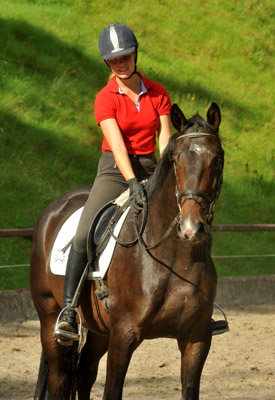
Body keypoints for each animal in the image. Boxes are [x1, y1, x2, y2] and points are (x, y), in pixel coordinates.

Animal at [30, 103, 224, 400]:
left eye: (217, 159)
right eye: (176, 161)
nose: (191, 228)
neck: (173, 258)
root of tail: (53, 208)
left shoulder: (196, 338)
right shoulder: (124, 335)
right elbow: (112, 391)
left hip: (99, 329)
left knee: (84, 373)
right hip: (49, 314)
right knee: (60, 377)